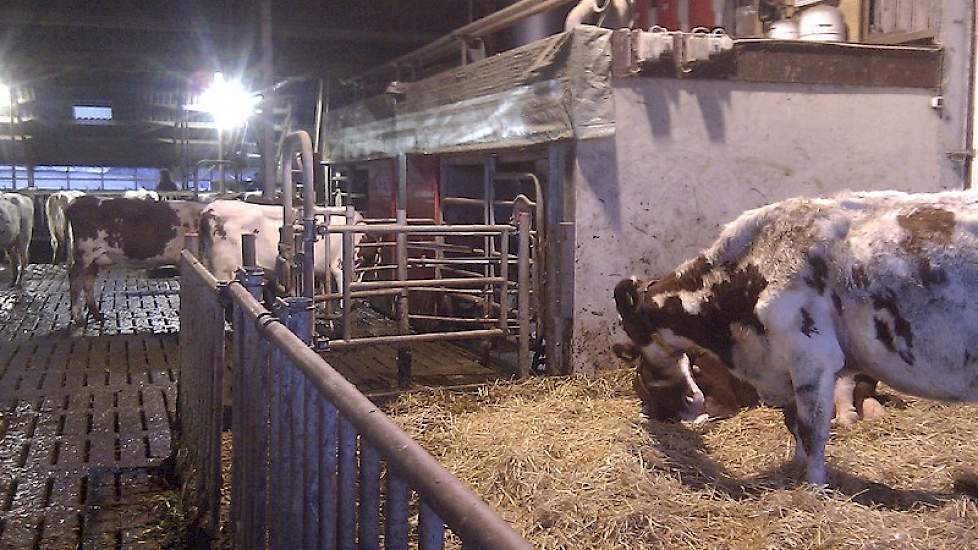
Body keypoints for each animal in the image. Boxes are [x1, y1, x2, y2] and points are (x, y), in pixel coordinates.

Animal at [65, 195, 202, 324]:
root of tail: (77, 201)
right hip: (84, 254)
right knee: (75, 282)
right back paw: (79, 319)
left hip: (93, 260)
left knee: (88, 283)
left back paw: (98, 316)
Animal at [612, 192, 976, 486]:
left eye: (633, 331)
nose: (690, 399)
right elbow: (794, 426)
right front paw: (797, 470)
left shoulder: (813, 358)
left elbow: (811, 430)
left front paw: (814, 488)